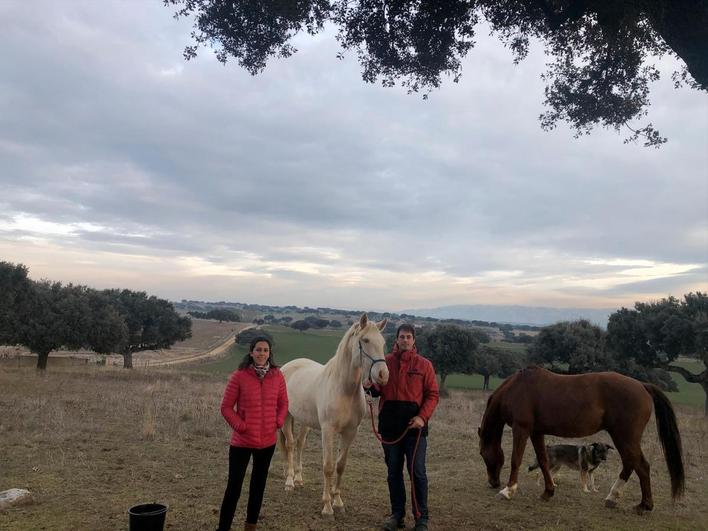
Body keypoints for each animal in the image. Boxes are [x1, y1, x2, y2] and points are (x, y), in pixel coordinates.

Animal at [278, 316, 390, 516]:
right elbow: (328, 466)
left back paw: (298, 479)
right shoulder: (328, 430)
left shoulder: (350, 432)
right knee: (290, 445)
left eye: (383, 343)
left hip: (305, 421)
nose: (383, 375)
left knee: (300, 444)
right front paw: (327, 505)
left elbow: (340, 465)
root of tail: (289, 365)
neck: (343, 389)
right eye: (365, 340)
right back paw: (290, 482)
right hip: (286, 417)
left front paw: (337, 501)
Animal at [478, 368, 684, 512]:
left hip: (625, 437)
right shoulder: (537, 432)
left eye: (482, 453)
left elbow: (516, 460)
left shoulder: (521, 429)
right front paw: (548, 492)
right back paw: (620, 499)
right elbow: (544, 461)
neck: (517, 388)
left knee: (640, 465)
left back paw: (639, 504)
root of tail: (642, 385)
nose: (494, 482)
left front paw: (507, 491)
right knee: (632, 464)